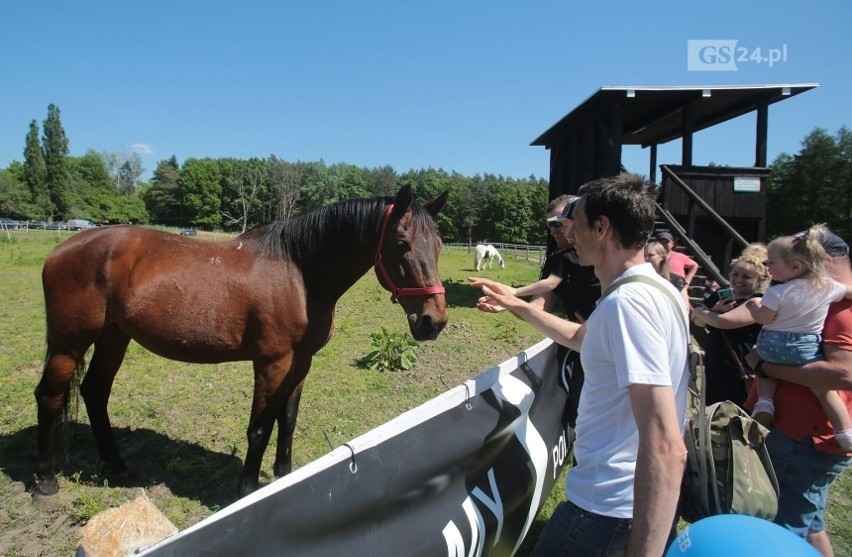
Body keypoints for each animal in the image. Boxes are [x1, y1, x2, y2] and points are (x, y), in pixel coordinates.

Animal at [33, 186, 446, 496]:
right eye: (402, 243)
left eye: (440, 245)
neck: (299, 272)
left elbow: (287, 420)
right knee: (50, 396)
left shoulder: (302, 361)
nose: (433, 322)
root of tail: (60, 250)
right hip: (69, 344)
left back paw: (116, 467)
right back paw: (45, 480)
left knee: (94, 392)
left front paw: (284, 475)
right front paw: (247, 490)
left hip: (114, 337)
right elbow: (259, 428)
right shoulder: (271, 363)